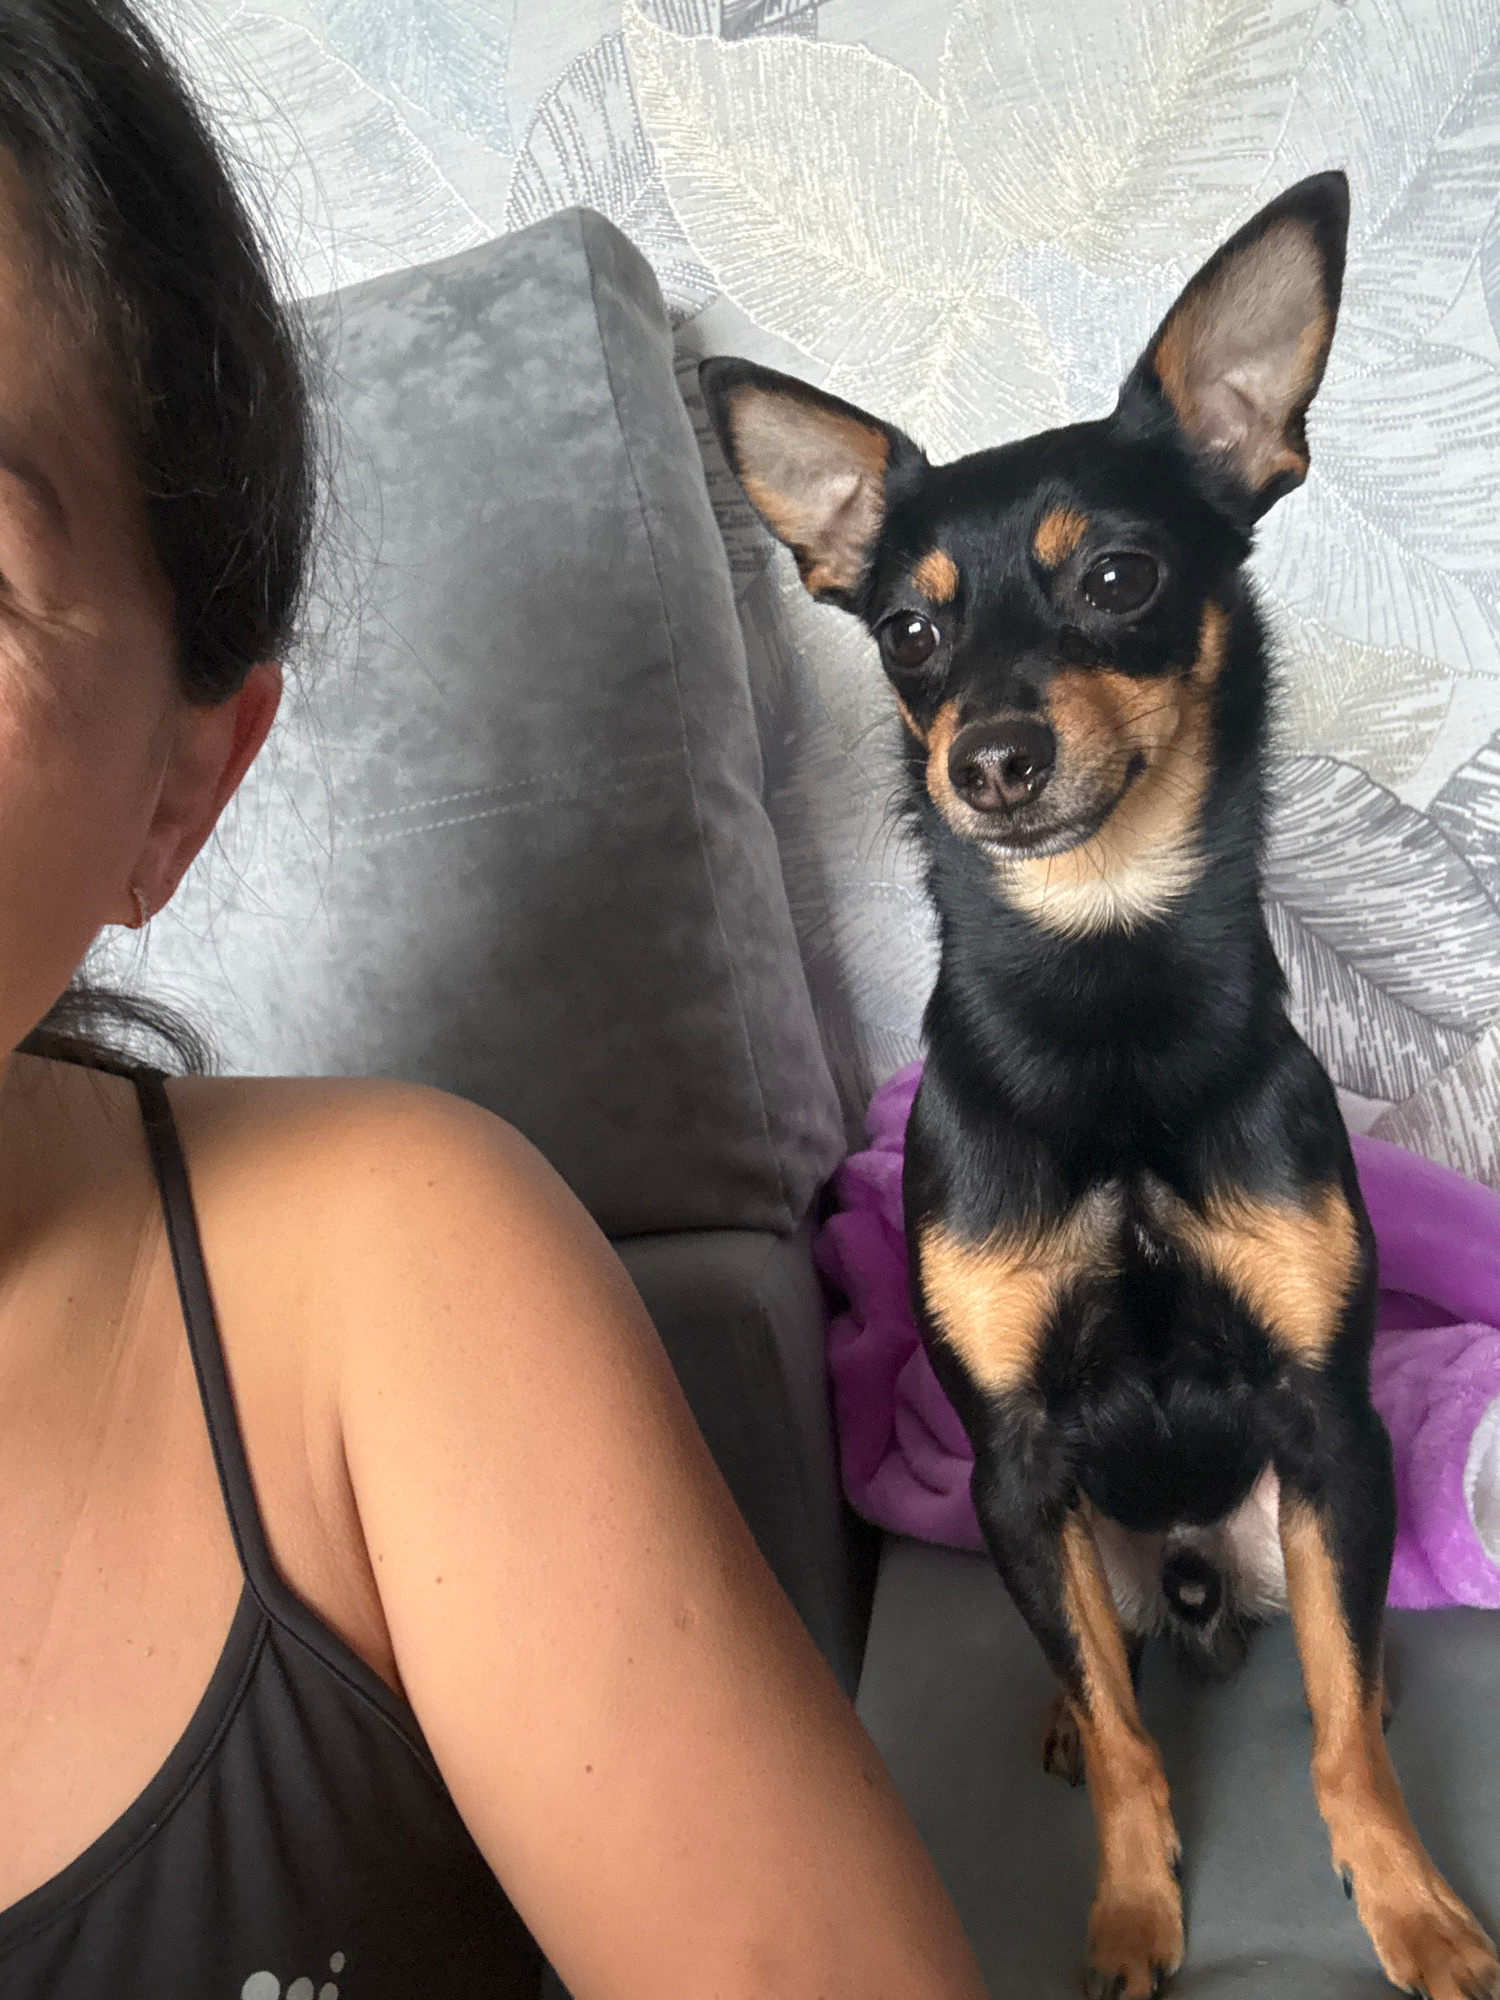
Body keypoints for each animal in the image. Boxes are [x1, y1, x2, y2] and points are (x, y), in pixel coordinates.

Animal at [702, 172, 1500, 2000]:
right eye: (909, 630)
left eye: (1122, 577)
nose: (986, 760)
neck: (1102, 979)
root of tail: (1194, 1579)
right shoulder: (1013, 1461)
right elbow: (1135, 1746)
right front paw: (1135, 1913)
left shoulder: (1328, 1421)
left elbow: (1337, 1738)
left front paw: (1413, 1910)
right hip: (1054, 1535)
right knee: (1097, 1663)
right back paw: (1079, 1713)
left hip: (1307, 1505)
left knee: (1333, 1654)